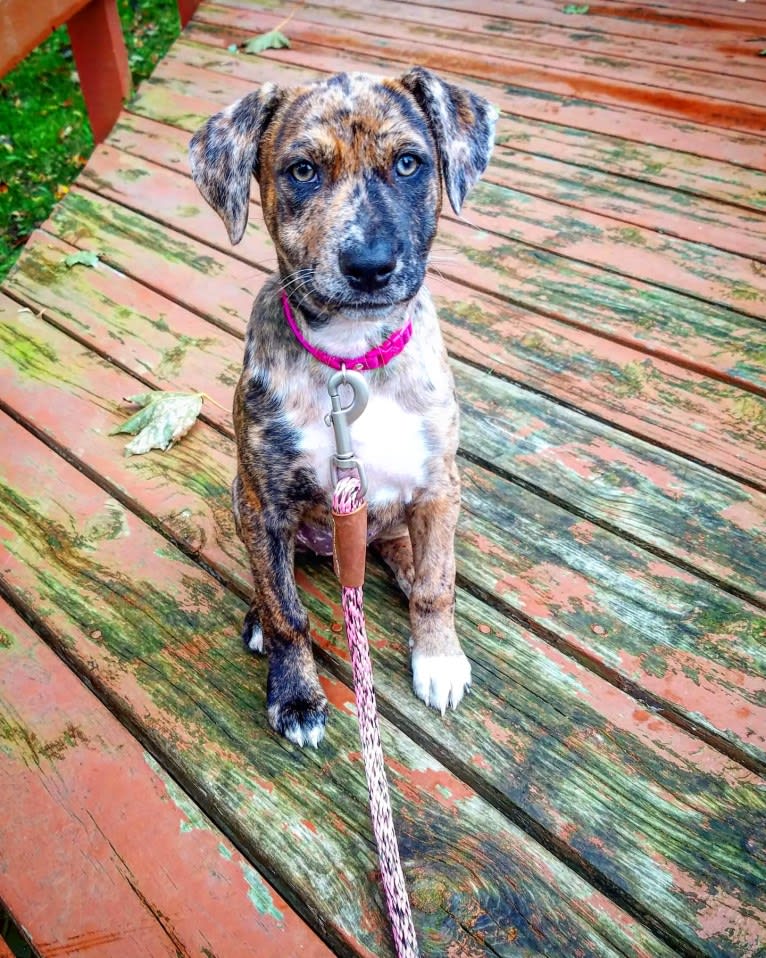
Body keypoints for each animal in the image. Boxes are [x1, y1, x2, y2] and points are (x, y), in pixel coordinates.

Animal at [190, 67, 498, 752]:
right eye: (302, 171)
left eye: (410, 163)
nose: (371, 266)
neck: (351, 360)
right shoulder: (265, 503)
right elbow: (287, 612)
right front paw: (296, 694)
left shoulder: (439, 486)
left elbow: (438, 585)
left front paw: (438, 657)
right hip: (242, 498)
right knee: (275, 581)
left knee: (410, 556)